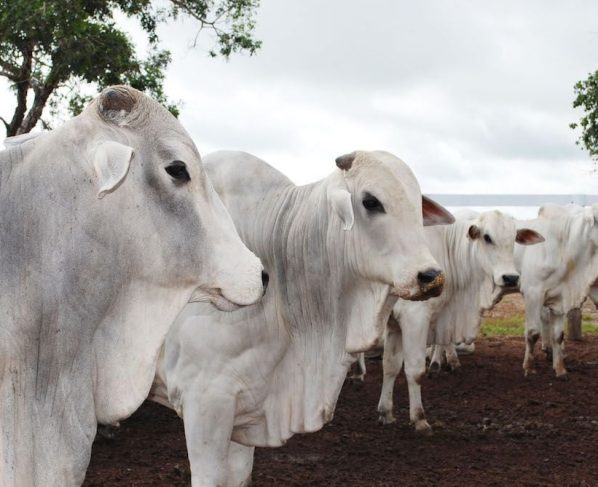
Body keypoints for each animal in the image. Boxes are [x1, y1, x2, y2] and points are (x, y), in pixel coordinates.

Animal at [382, 212, 548, 432]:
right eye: (487, 237)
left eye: (514, 238)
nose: (511, 278)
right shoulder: (414, 317)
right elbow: (414, 369)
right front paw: (419, 419)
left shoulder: (393, 324)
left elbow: (390, 365)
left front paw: (385, 413)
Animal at [516, 202, 598, 378]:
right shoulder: (532, 293)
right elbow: (532, 333)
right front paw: (529, 367)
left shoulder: (560, 297)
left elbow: (558, 335)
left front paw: (560, 369)